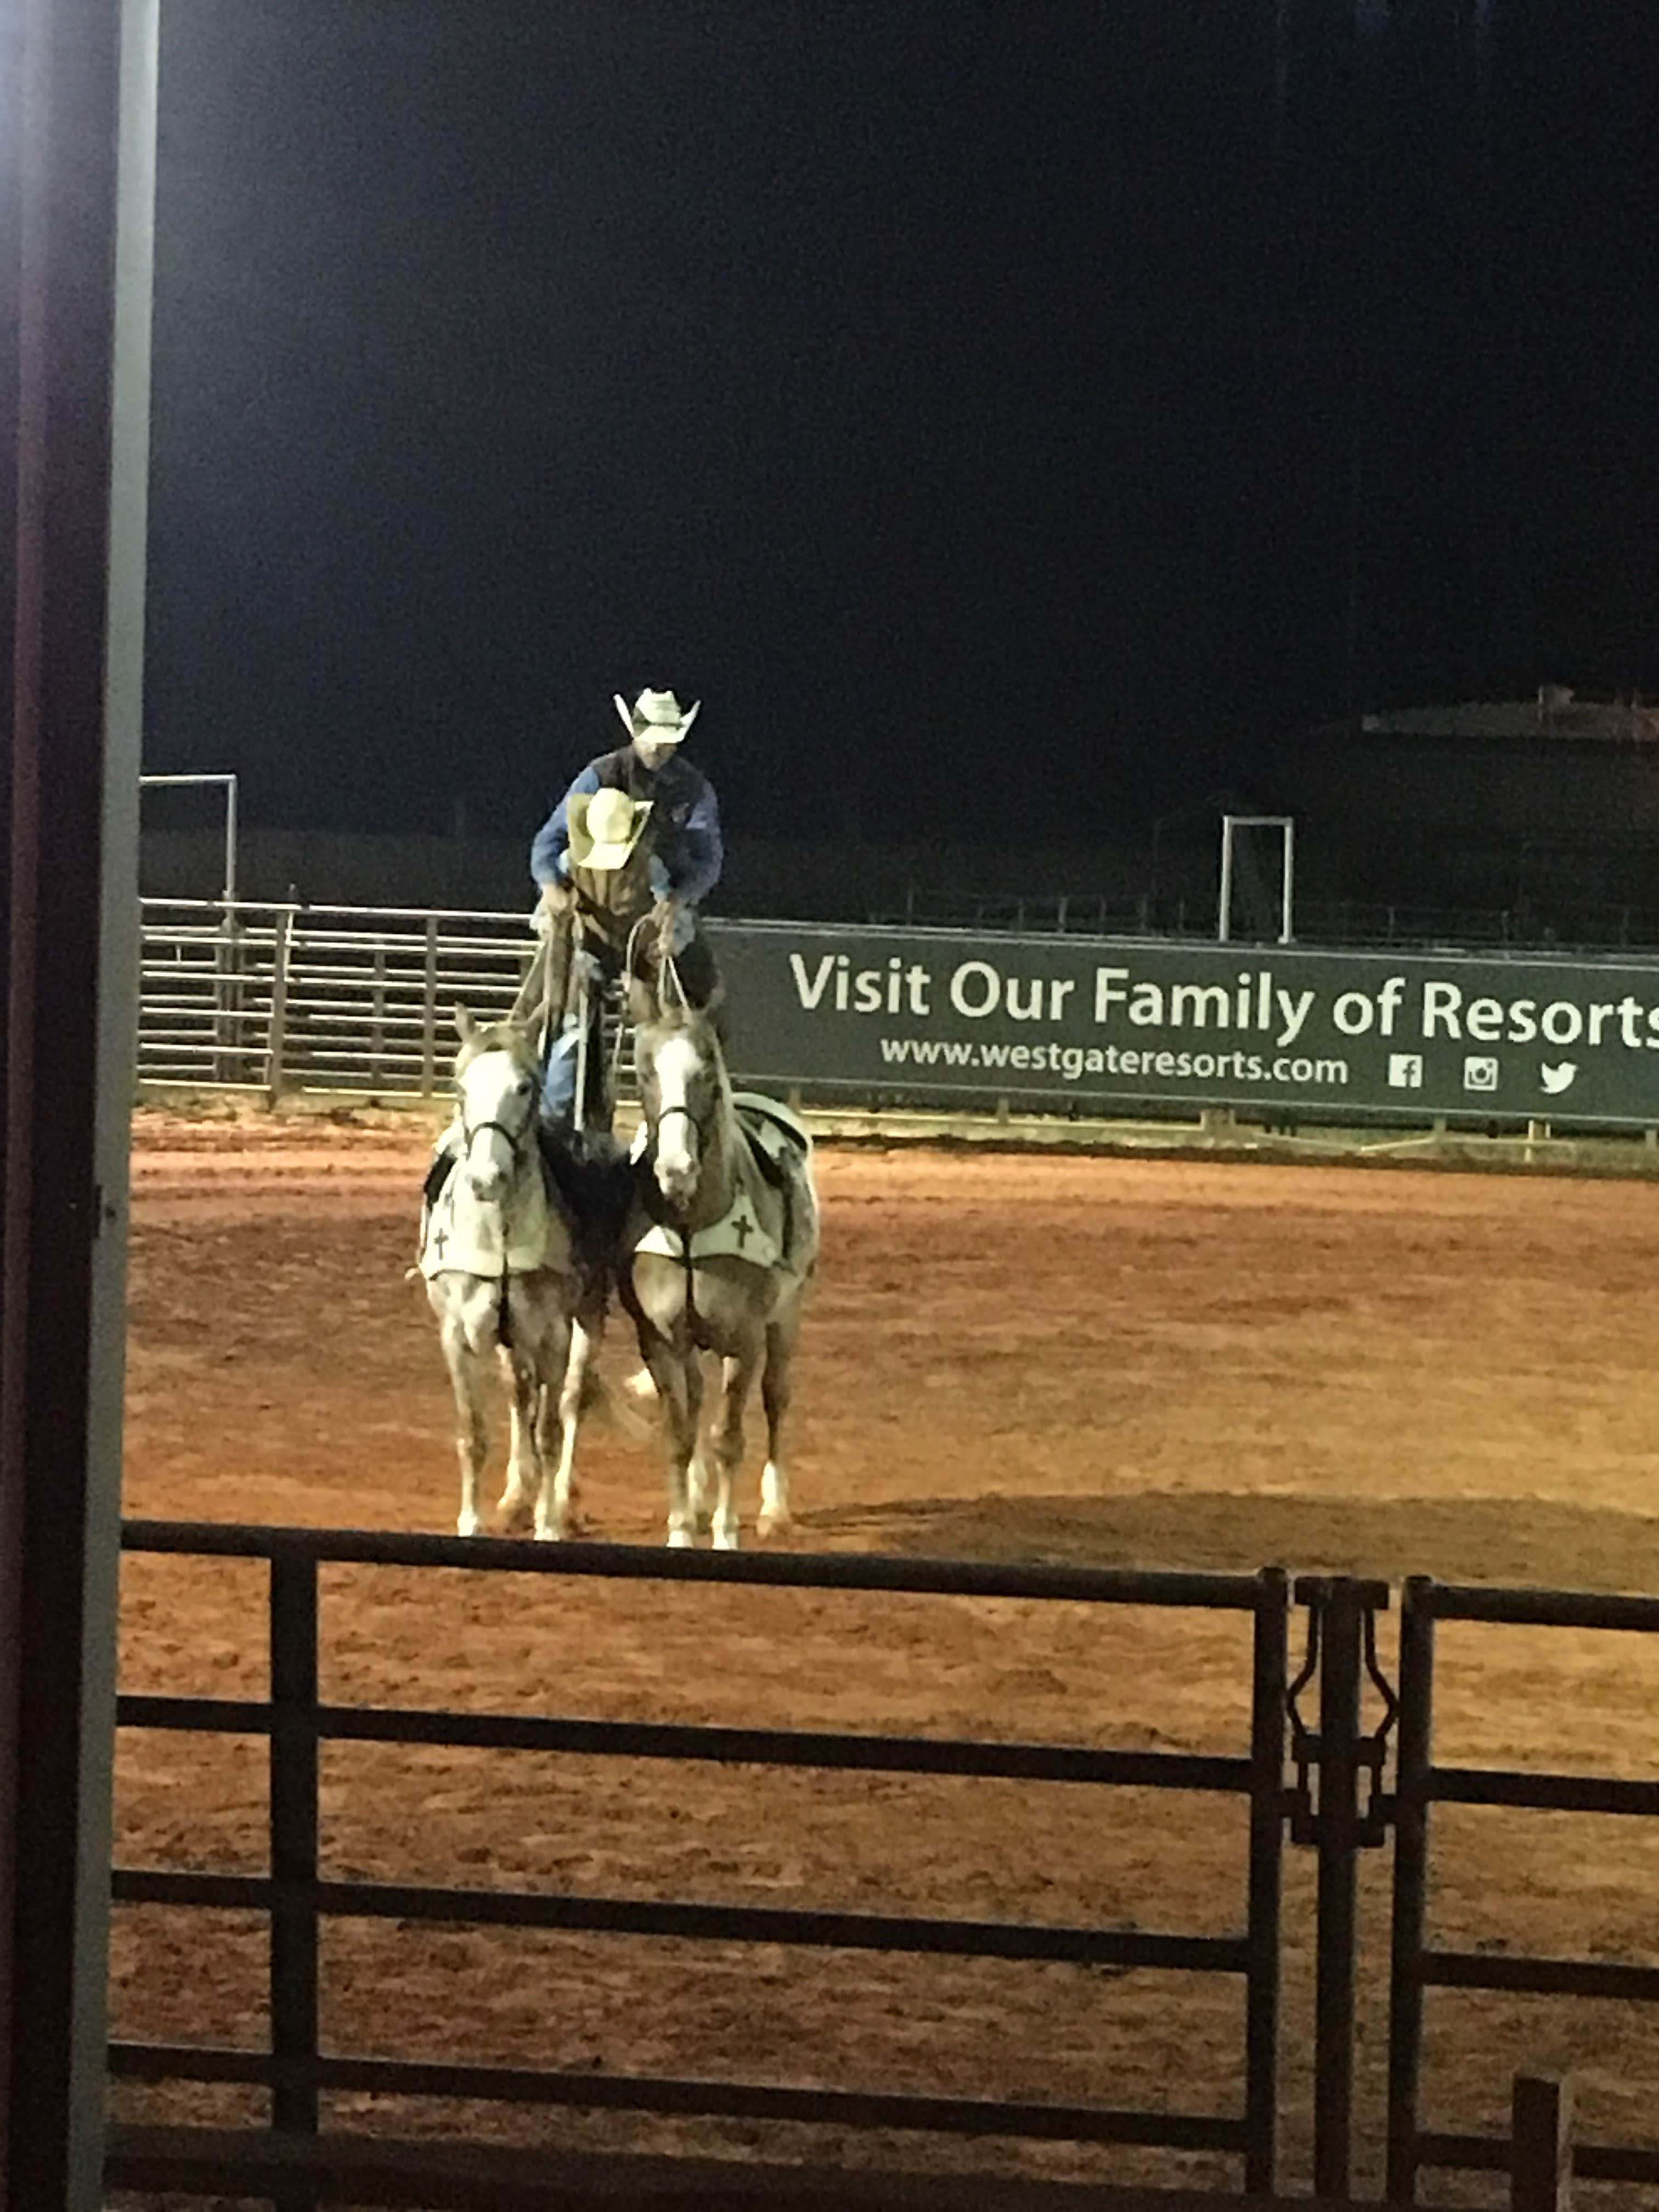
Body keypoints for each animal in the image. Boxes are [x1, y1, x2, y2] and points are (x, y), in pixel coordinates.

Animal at [419, 1008, 624, 1540]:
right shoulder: (456, 1335)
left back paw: (561, 1498)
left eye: (524, 1087)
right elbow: (474, 1432)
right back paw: (516, 1494)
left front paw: (548, 1523)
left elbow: (551, 1428)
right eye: (460, 1086)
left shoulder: (553, 1335)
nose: (487, 1179)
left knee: (571, 1399)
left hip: (587, 1317)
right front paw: (471, 1521)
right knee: (520, 1396)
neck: (500, 1235)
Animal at [621, 986, 819, 1548]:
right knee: (697, 1400)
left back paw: (775, 1508)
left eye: (707, 1071)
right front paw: (681, 1529)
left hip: (786, 1317)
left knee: (776, 1397)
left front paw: (726, 1534)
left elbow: (729, 1437)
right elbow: (679, 1433)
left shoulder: (745, 1340)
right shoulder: (660, 1340)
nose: (677, 1169)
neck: (691, 1224)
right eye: (643, 1071)